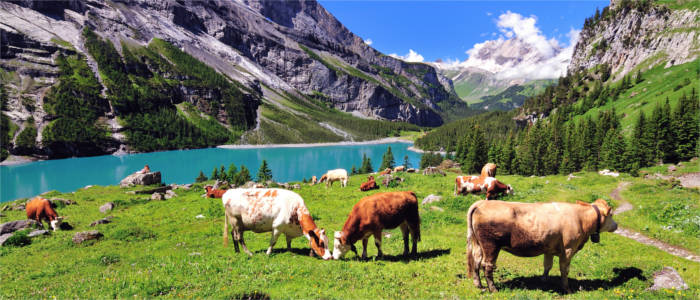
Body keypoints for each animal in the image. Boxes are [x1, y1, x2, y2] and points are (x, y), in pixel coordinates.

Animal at [468, 199, 616, 292]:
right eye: (611, 215)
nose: (616, 225)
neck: (580, 219)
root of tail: (482, 203)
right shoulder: (568, 249)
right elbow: (564, 269)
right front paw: (566, 288)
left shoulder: (549, 249)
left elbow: (547, 266)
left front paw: (543, 280)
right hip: (491, 245)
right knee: (487, 266)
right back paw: (493, 289)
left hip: (478, 245)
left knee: (476, 262)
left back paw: (479, 285)